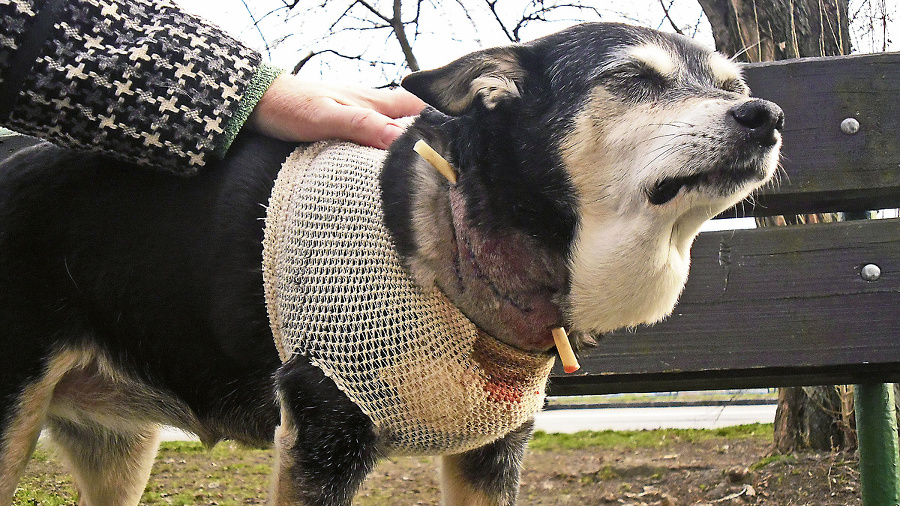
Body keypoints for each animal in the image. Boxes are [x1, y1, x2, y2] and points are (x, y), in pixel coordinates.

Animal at [0, 21, 780, 504]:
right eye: (633, 78)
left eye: (732, 88)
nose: (767, 115)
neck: (453, 232)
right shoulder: (322, 436)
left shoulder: (490, 454)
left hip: (119, 449)